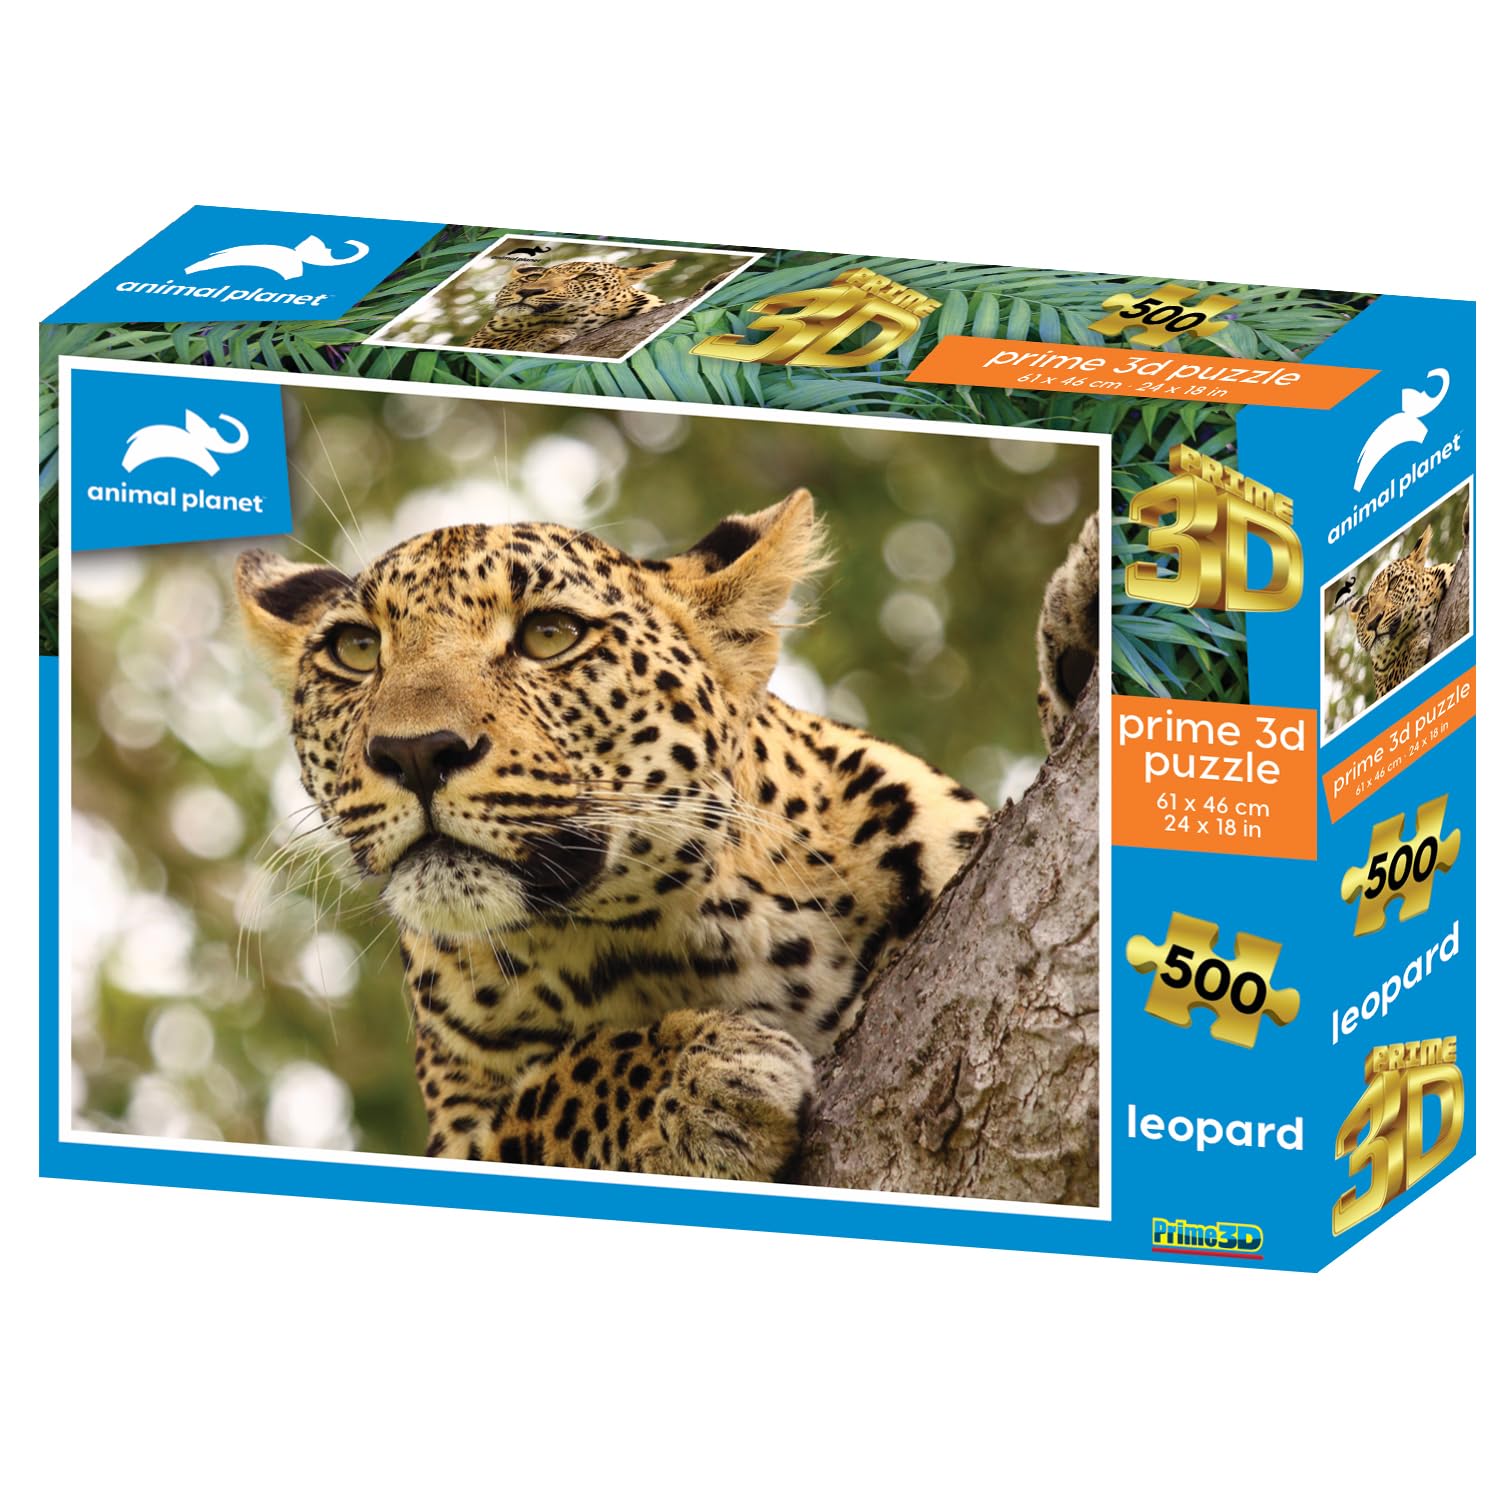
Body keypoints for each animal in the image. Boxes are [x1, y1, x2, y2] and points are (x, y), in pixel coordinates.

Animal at [236, 492, 1099, 1182]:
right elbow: (552, 1096)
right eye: (356, 650)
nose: (415, 751)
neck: (680, 933)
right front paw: (700, 1082)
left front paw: (1088, 618)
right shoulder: (459, 1127)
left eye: (550, 635)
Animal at [467, 257, 677, 354]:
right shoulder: (475, 341)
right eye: (534, 277)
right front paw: (547, 335)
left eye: (586, 277)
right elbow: (500, 340)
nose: (527, 292)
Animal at [1337, 521, 1455, 698]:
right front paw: (1416, 644)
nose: (1373, 623)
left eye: (1393, 582)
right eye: (1365, 609)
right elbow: (1397, 670)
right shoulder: (1381, 688)